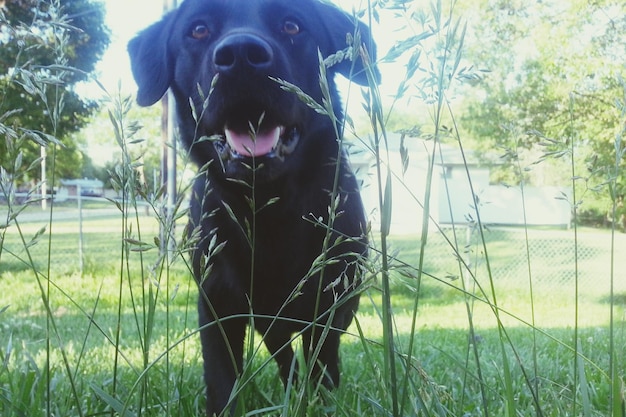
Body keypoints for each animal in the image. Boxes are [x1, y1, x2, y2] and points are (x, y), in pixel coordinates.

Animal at [128, 0, 376, 412]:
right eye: (198, 29)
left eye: (292, 25)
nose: (241, 55)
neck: (269, 211)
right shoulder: (217, 299)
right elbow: (222, 375)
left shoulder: (331, 299)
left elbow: (322, 358)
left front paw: (320, 398)